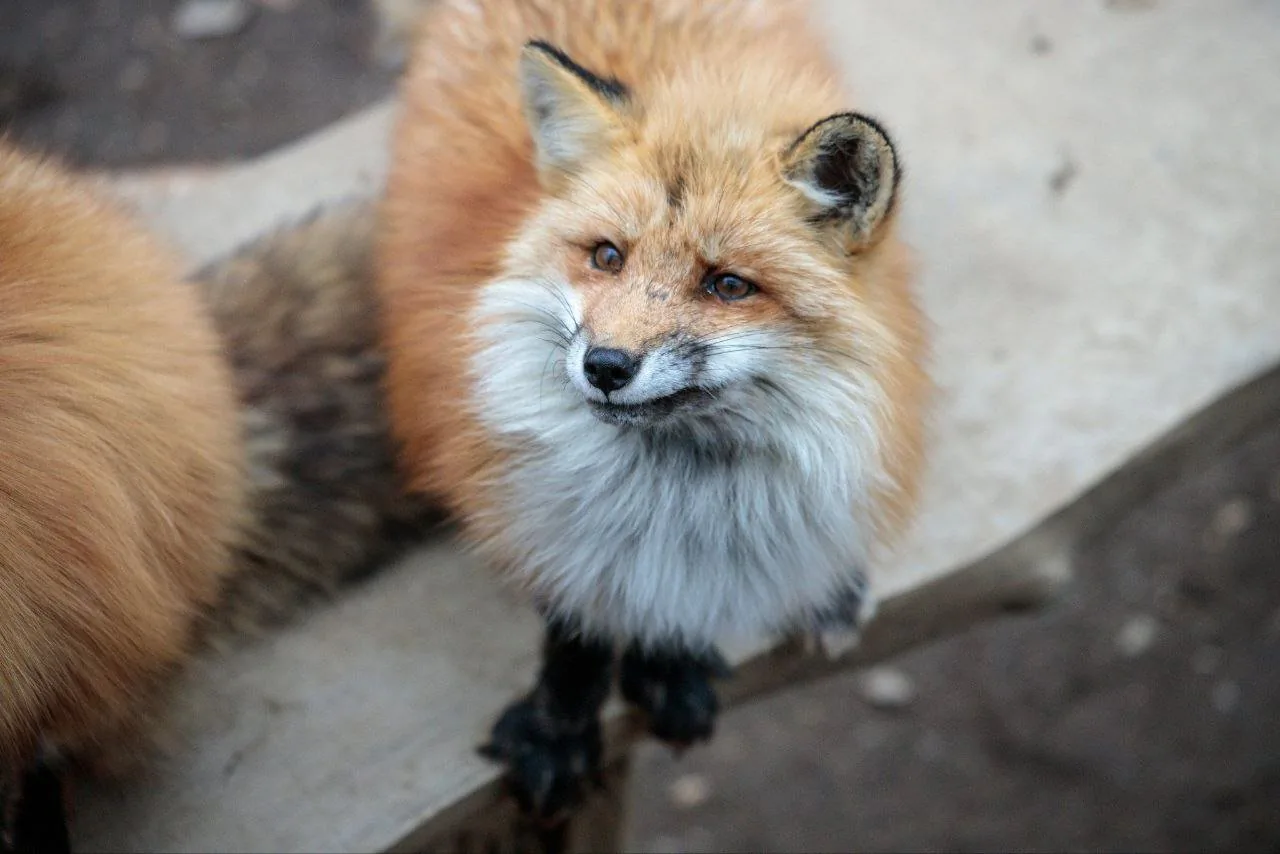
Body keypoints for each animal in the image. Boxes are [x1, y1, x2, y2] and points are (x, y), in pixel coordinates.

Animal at [378, 0, 929, 821]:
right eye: (608, 257)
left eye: (728, 285)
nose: (605, 366)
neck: (673, 488)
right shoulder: (548, 509)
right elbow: (578, 618)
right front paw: (561, 726)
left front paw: (666, 663)